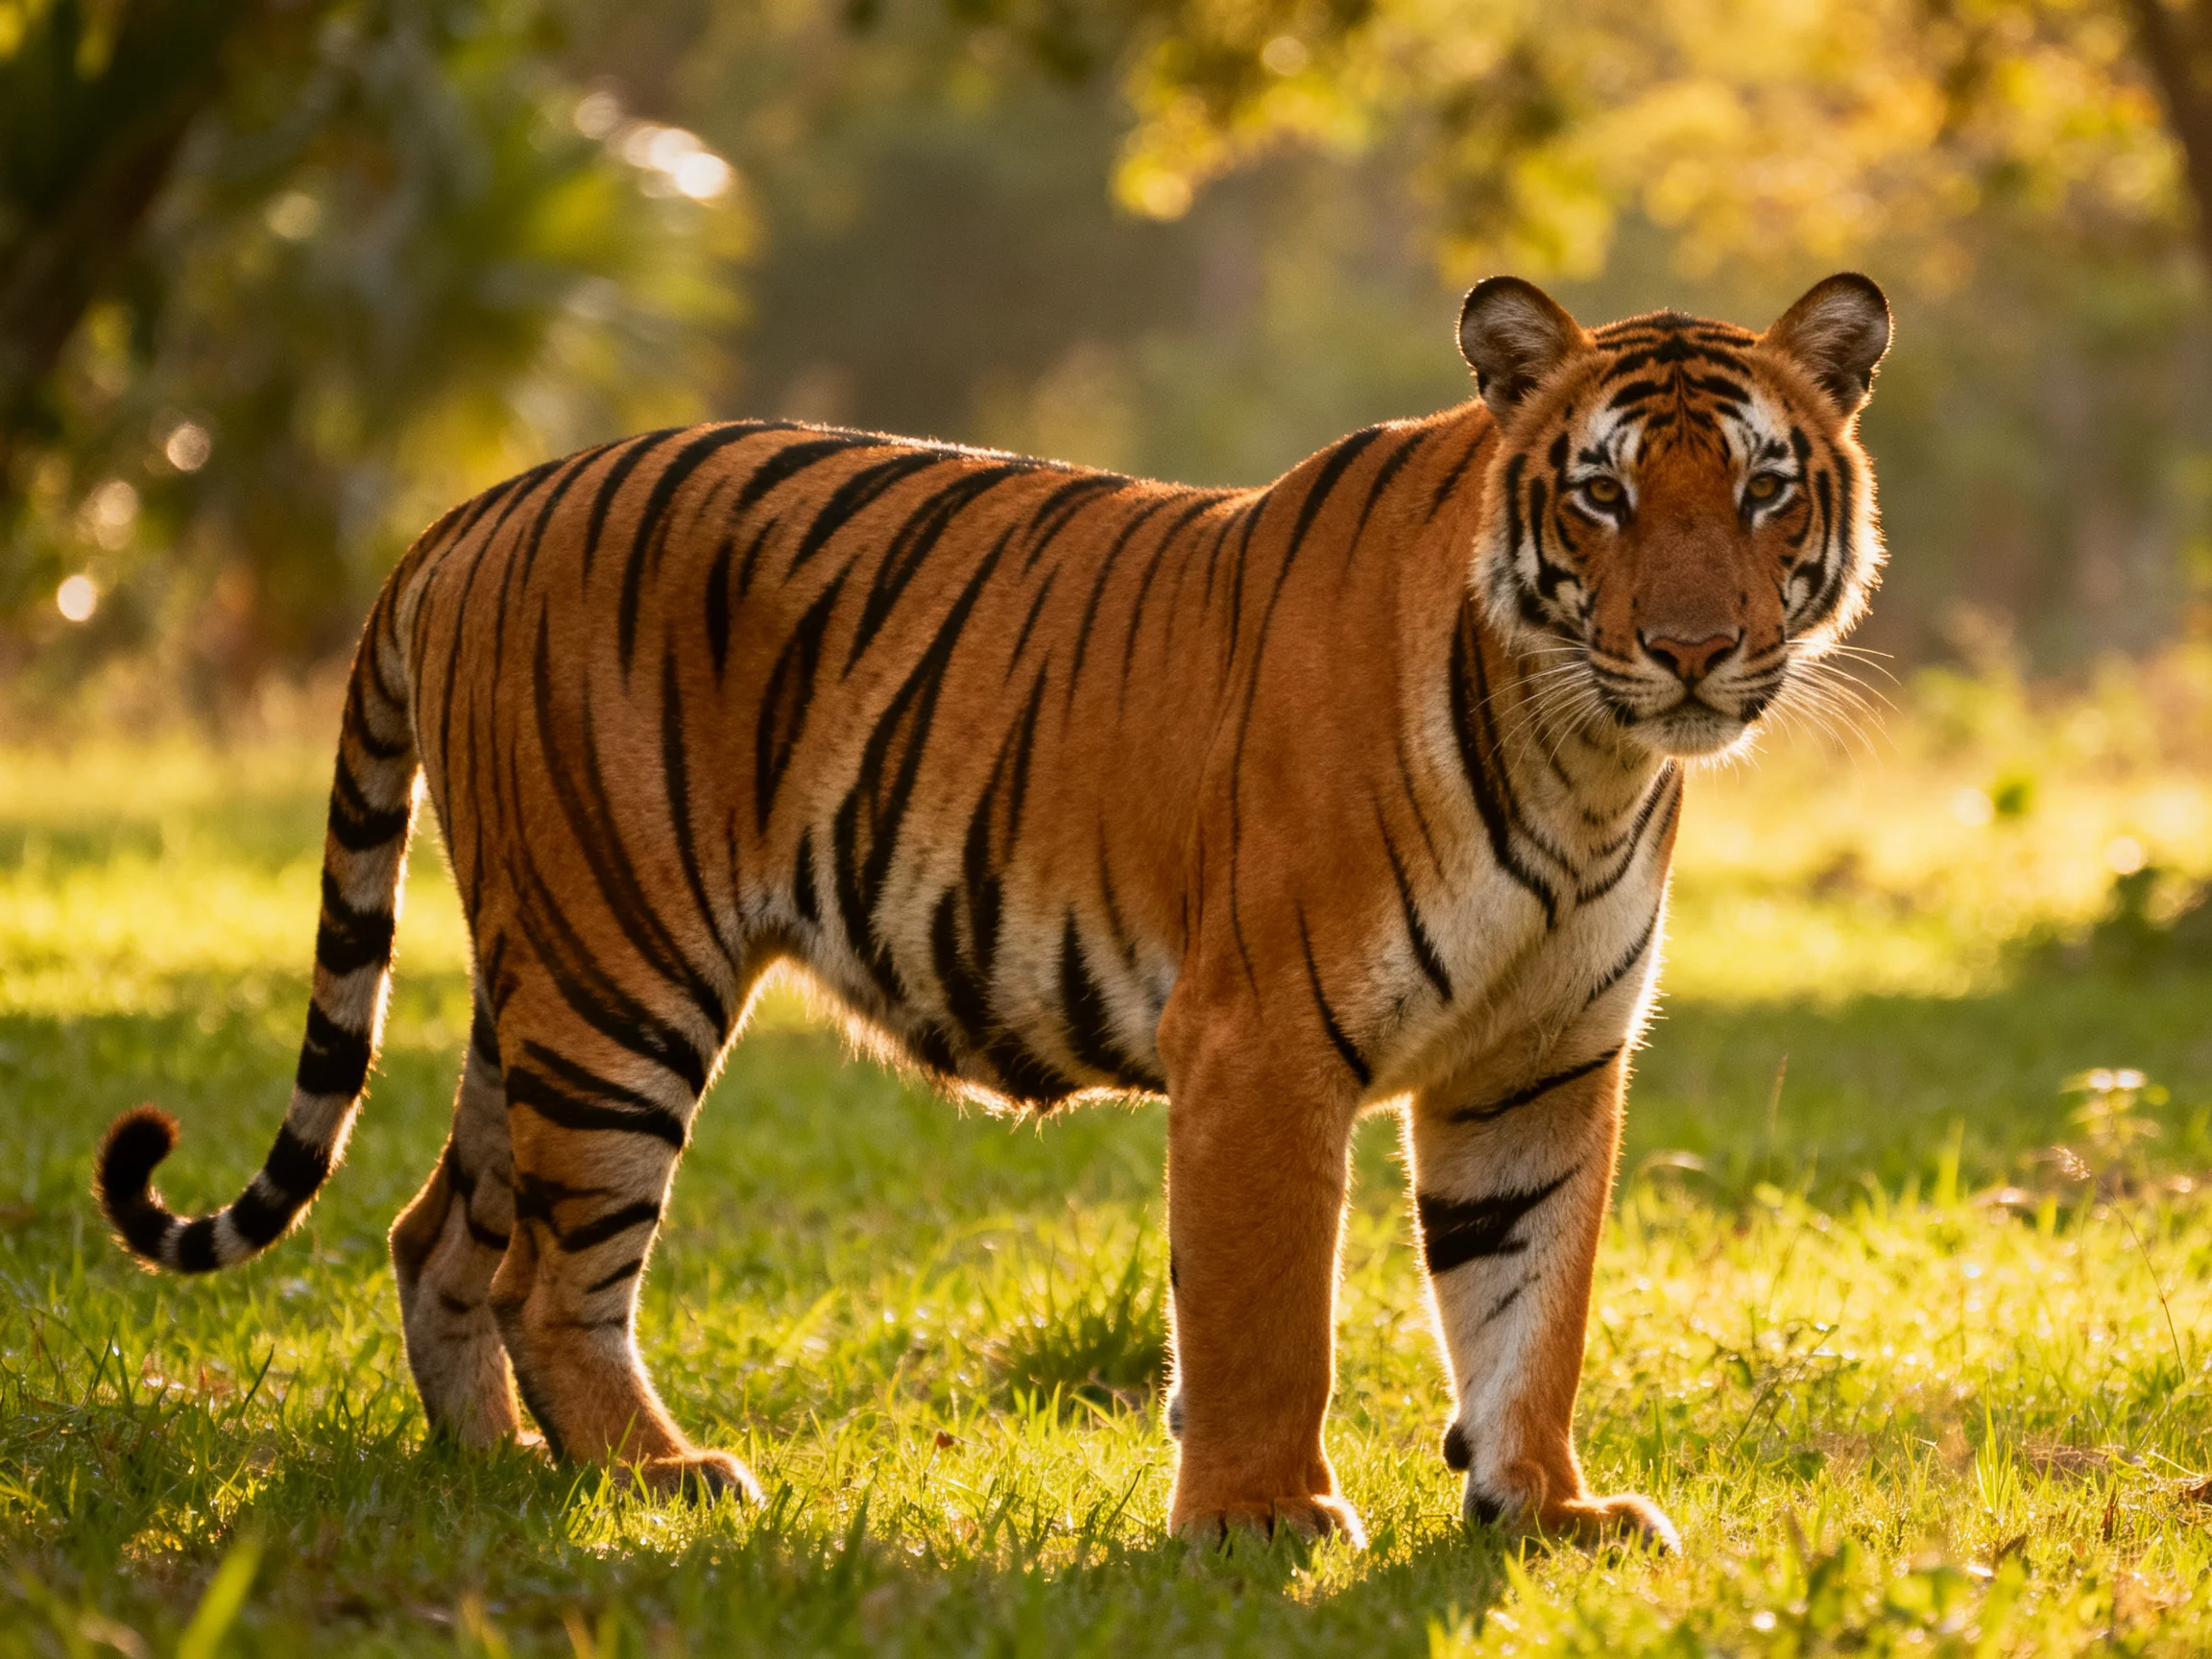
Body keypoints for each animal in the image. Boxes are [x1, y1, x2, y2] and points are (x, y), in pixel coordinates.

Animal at [96, 271, 1890, 1552]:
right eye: (1600, 497)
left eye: (1758, 493)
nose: (1688, 649)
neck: (1585, 756)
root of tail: (479, 507)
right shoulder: (1264, 1039)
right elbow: (1265, 1317)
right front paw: (1261, 1521)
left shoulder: (1537, 1062)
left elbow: (1529, 1300)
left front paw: (1544, 1509)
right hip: (620, 977)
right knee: (553, 1274)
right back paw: (654, 1482)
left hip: (538, 978)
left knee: (438, 1235)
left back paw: (493, 1481)